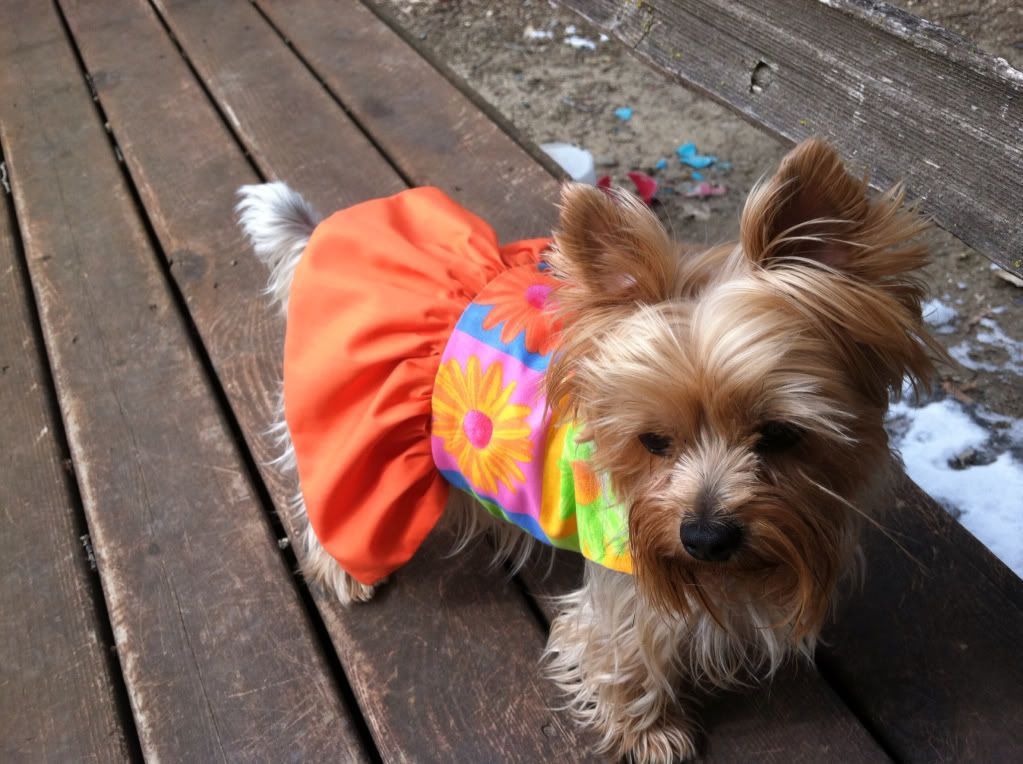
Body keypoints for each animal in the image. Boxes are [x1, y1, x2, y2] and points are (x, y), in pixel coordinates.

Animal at [238, 138, 942, 762]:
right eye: (652, 441)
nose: (705, 539)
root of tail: (321, 236)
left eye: (780, 435)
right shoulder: (628, 571)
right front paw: (651, 734)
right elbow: (621, 650)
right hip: (355, 427)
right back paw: (343, 571)